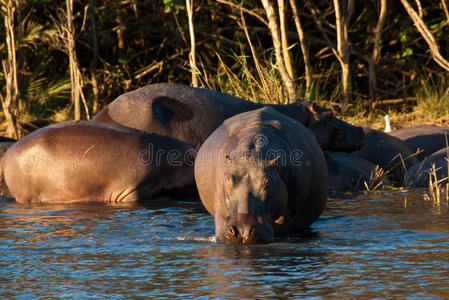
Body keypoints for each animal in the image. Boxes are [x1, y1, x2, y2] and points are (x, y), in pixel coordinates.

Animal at [194, 107, 328, 244]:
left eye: (267, 182)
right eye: (227, 179)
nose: (242, 230)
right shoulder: (219, 207)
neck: (251, 155)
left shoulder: (290, 210)